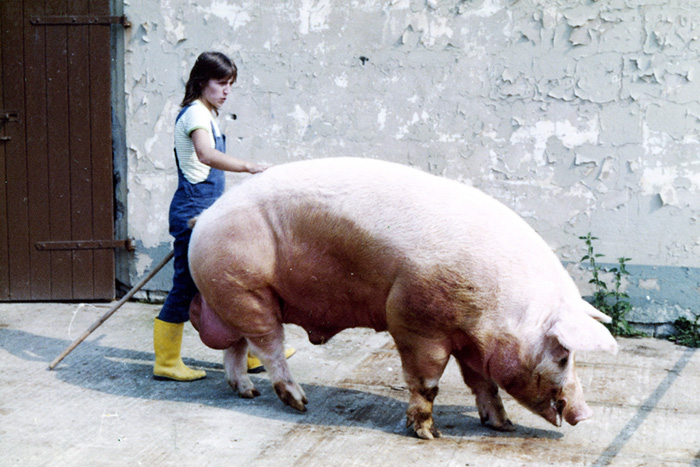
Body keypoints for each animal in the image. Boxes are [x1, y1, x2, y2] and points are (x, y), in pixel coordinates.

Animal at [187, 157, 616, 438]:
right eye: (563, 356)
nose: (586, 414)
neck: (503, 312)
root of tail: (204, 218)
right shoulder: (414, 318)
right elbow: (427, 382)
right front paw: (428, 435)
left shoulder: (471, 341)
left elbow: (482, 382)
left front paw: (502, 425)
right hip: (247, 288)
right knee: (268, 346)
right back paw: (299, 402)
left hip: (236, 294)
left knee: (237, 346)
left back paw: (247, 391)